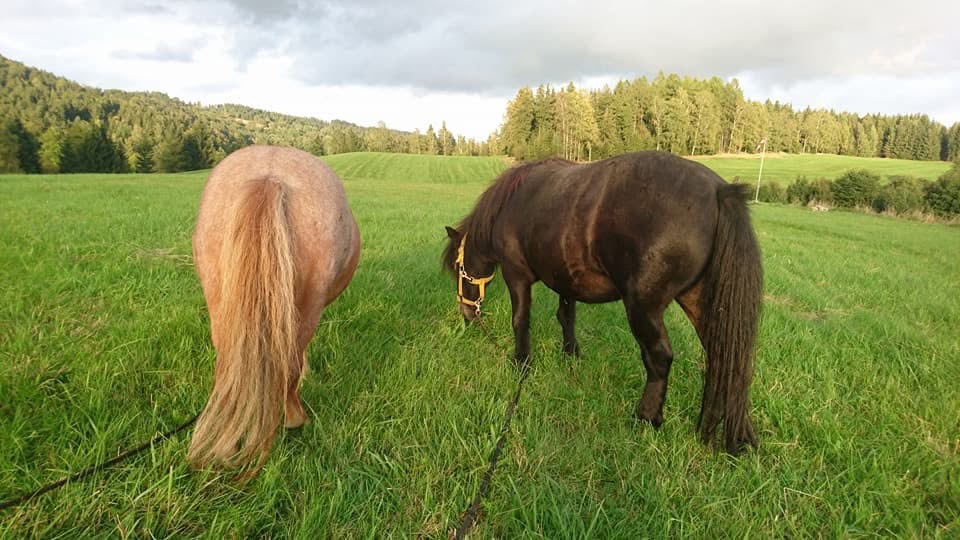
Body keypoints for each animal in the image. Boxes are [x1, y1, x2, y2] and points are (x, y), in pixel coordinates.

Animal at [443, 151, 762, 454]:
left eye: (457, 267)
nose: (466, 314)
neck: (510, 204)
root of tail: (719, 190)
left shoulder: (516, 274)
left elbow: (520, 320)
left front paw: (521, 363)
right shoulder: (565, 279)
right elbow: (566, 317)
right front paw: (570, 354)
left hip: (643, 308)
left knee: (660, 358)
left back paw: (647, 417)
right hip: (704, 304)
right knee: (725, 359)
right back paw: (732, 432)